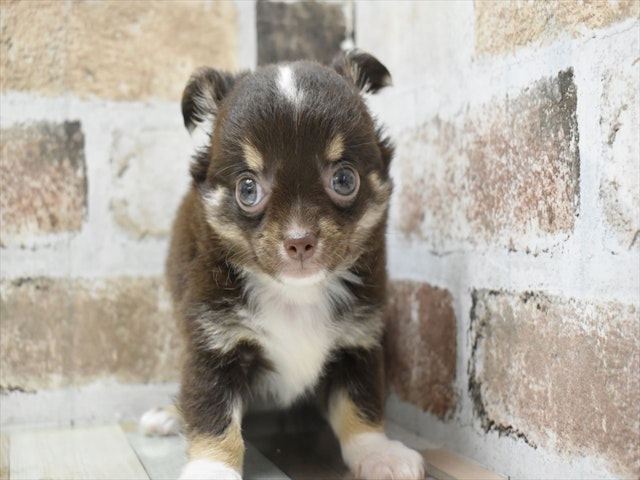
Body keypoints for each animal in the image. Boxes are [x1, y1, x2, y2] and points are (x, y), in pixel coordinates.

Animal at [154, 50, 424, 478]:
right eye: (248, 189)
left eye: (344, 180)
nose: (300, 241)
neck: (296, 296)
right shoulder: (214, 341)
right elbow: (212, 413)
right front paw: (211, 468)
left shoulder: (358, 340)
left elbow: (361, 402)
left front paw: (377, 452)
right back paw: (168, 415)